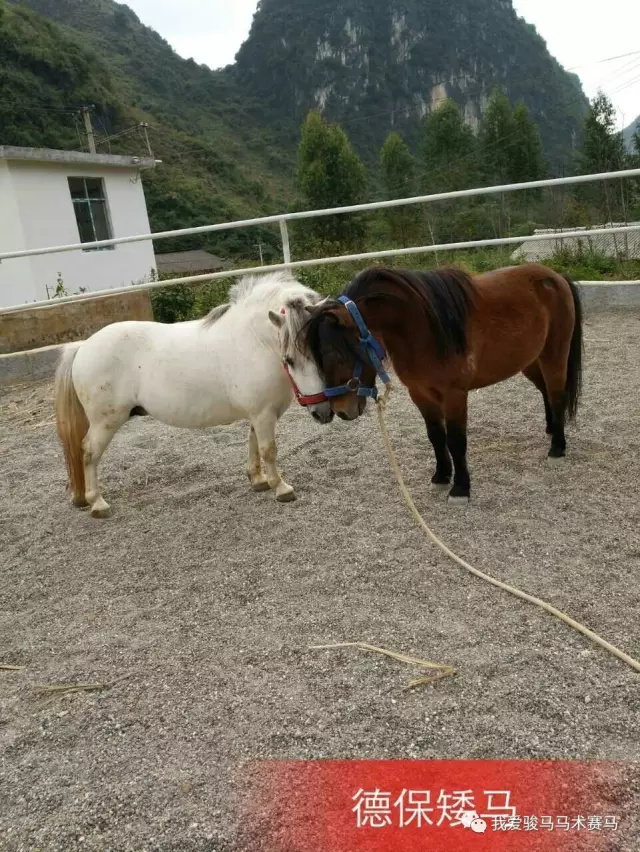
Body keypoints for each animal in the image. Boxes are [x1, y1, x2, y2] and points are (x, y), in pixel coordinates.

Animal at [54, 271, 333, 518]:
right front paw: (281, 488)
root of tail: (83, 347)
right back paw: (97, 503)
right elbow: (268, 450)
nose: (324, 413)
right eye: (290, 359)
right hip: (105, 422)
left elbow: (253, 443)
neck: (255, 342)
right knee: (89, 453)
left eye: (320, 351)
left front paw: (258, 480)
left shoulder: (258, 414)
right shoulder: (263, 413)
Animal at [301, 263, 583, 504]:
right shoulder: (421, 394)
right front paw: (441, 476)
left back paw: (557, 447)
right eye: (314, 357)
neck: (422, 329)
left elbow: (456, 441)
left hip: (554, 356)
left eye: (339, 354)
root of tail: (556, 276)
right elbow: (436, 436)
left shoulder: (454, 395)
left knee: (557, 394)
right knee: (545, 392)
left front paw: (460, 489)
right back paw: (551, 430)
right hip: (530, 361)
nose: (339, 410)